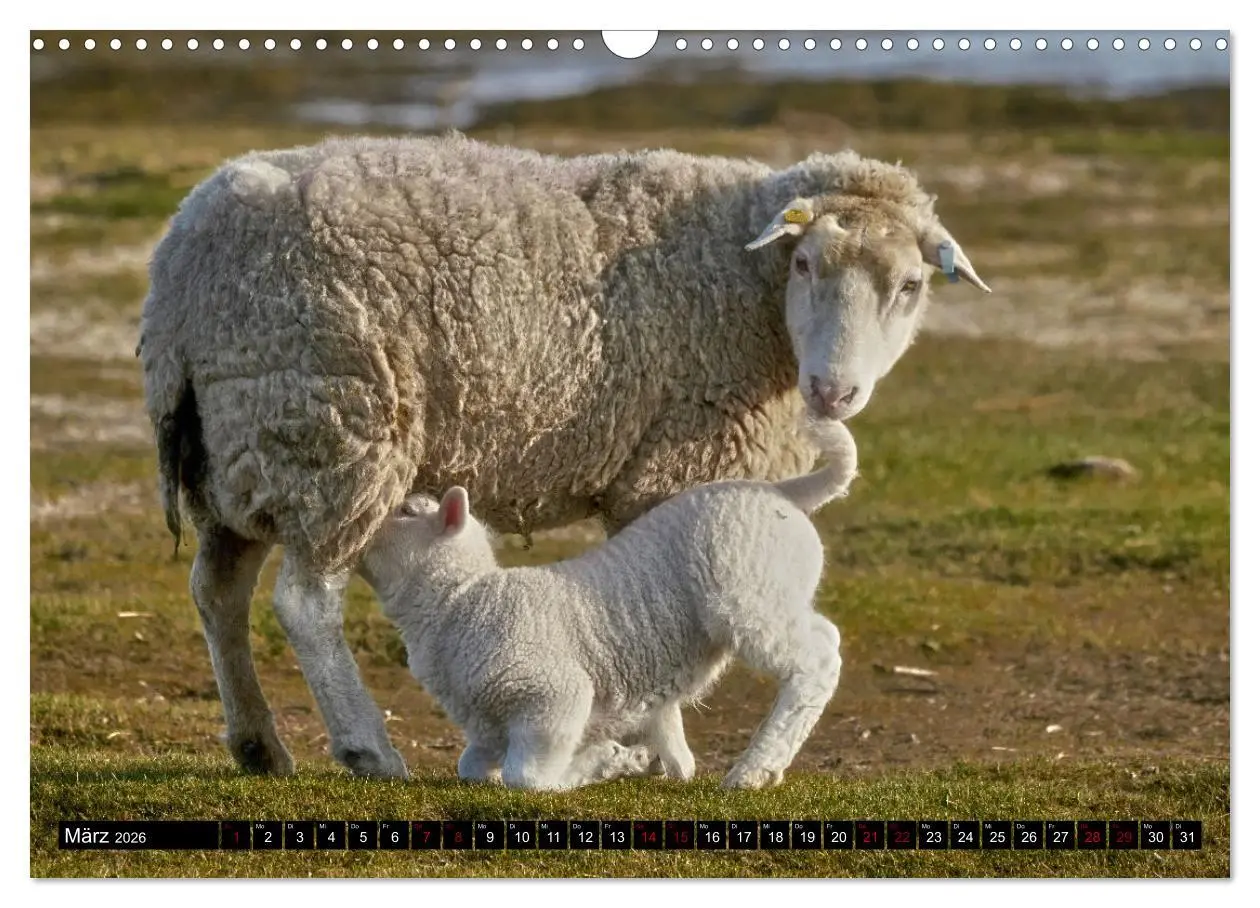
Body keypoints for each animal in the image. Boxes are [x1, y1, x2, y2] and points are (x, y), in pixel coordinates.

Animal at [358, 417, 861, 791]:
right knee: (824, 638)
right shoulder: (486, 726)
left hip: (748, 592)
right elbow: (471, 767)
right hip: (772, 590)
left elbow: (528, 777)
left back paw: (755, 769)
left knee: (816, 660)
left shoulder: (554, 696)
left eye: (405, 513)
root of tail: (782, 492)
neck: (458, 603)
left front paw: (610, 761)